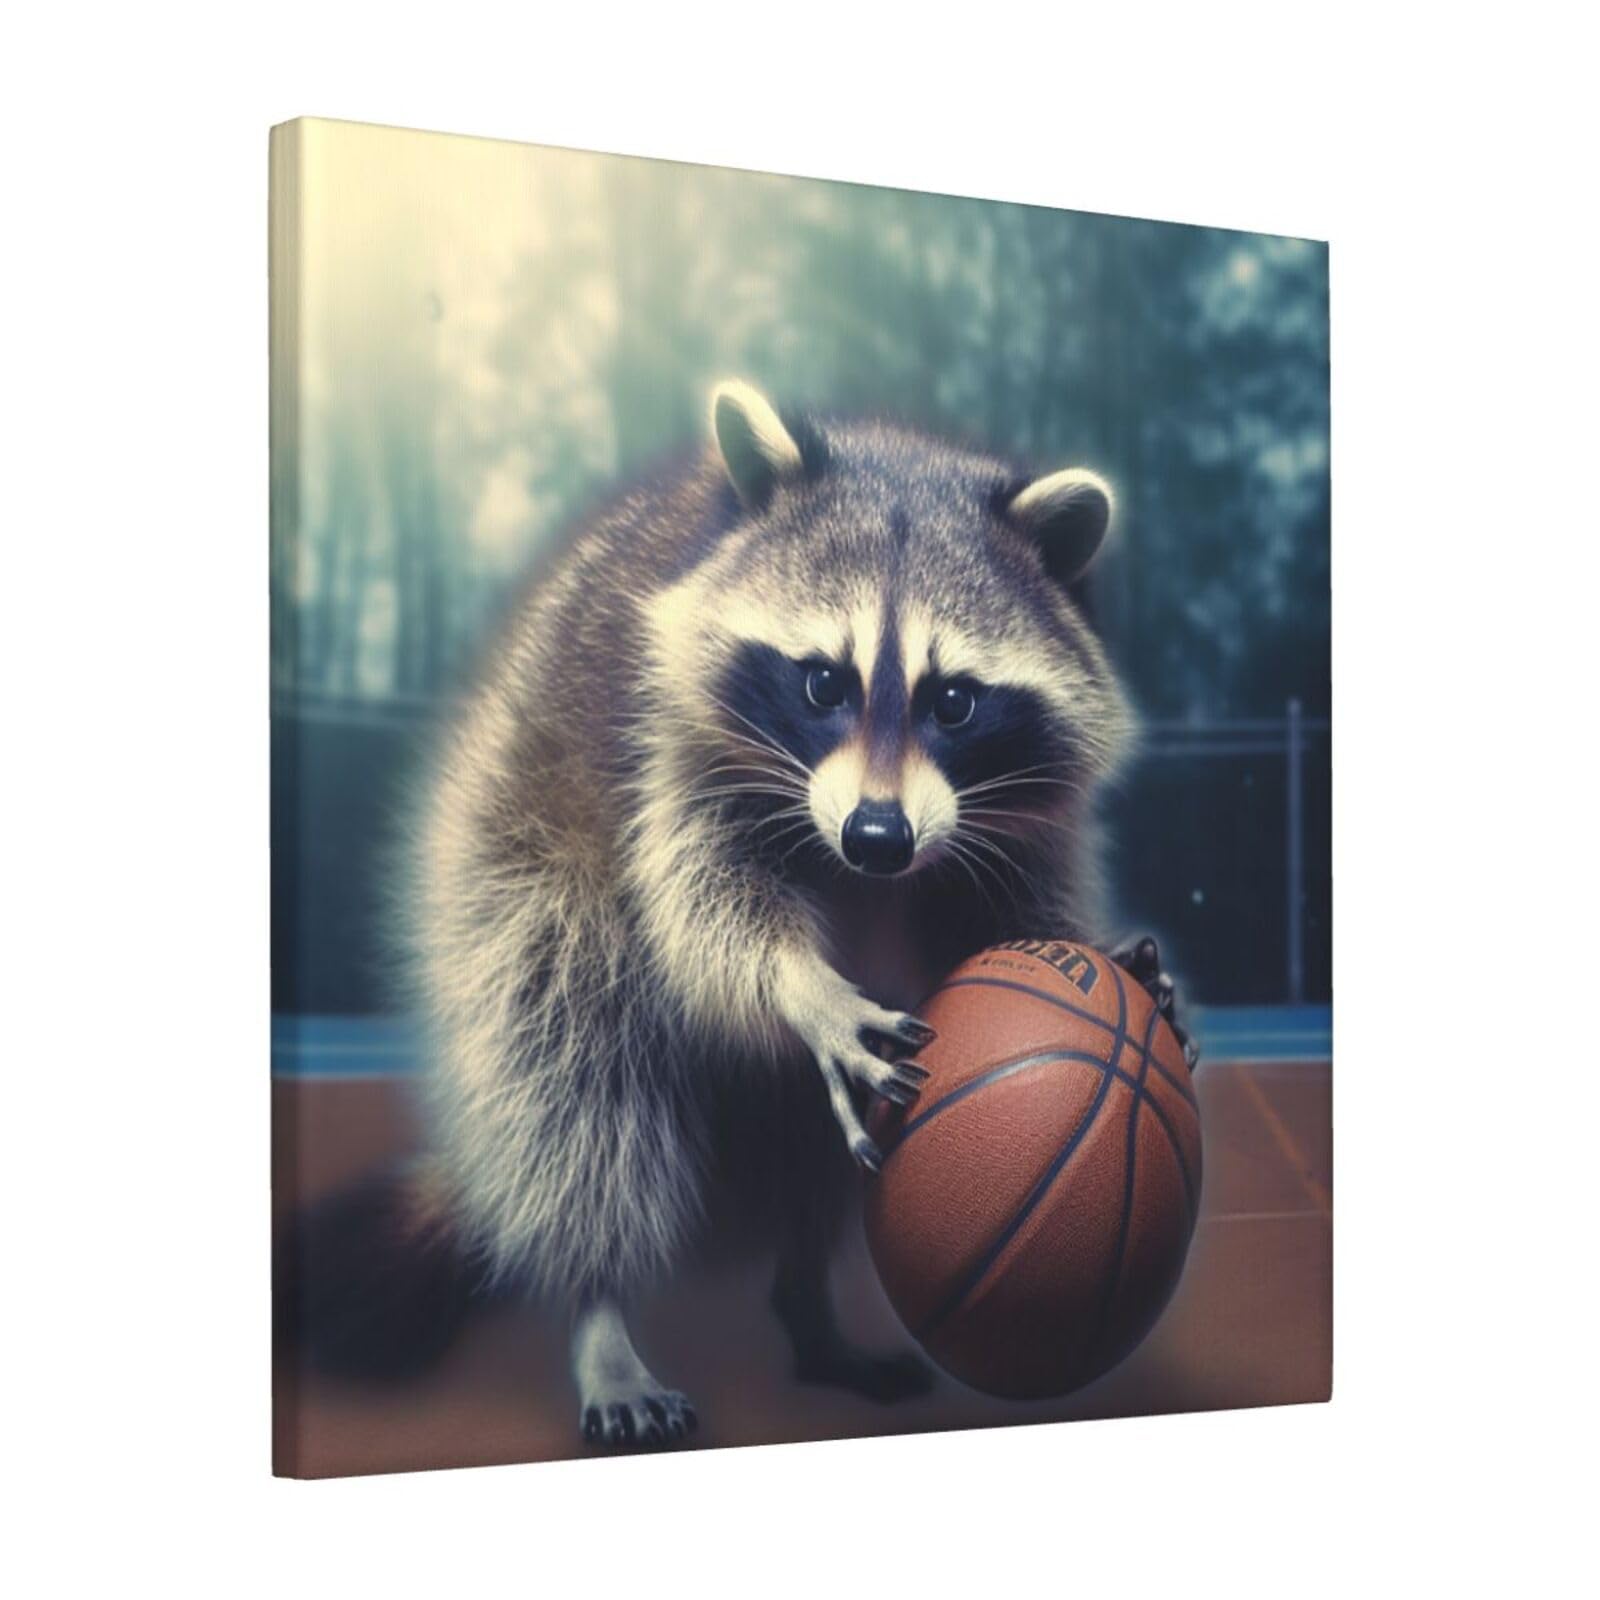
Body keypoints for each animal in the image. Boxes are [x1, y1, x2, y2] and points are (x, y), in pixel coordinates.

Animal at [292, 381, 1192, 1448]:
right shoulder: (666, 745)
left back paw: (809, 1308)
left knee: (812, 1161)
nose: (878, 837)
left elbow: (1007, 911)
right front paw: (800, 985)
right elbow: (701, 902)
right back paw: (601, 1307)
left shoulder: (1016, 819)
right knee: (575, 1077)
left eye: (956, 703)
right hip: (513, 869)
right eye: (824, 681)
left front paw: (1101, 953)